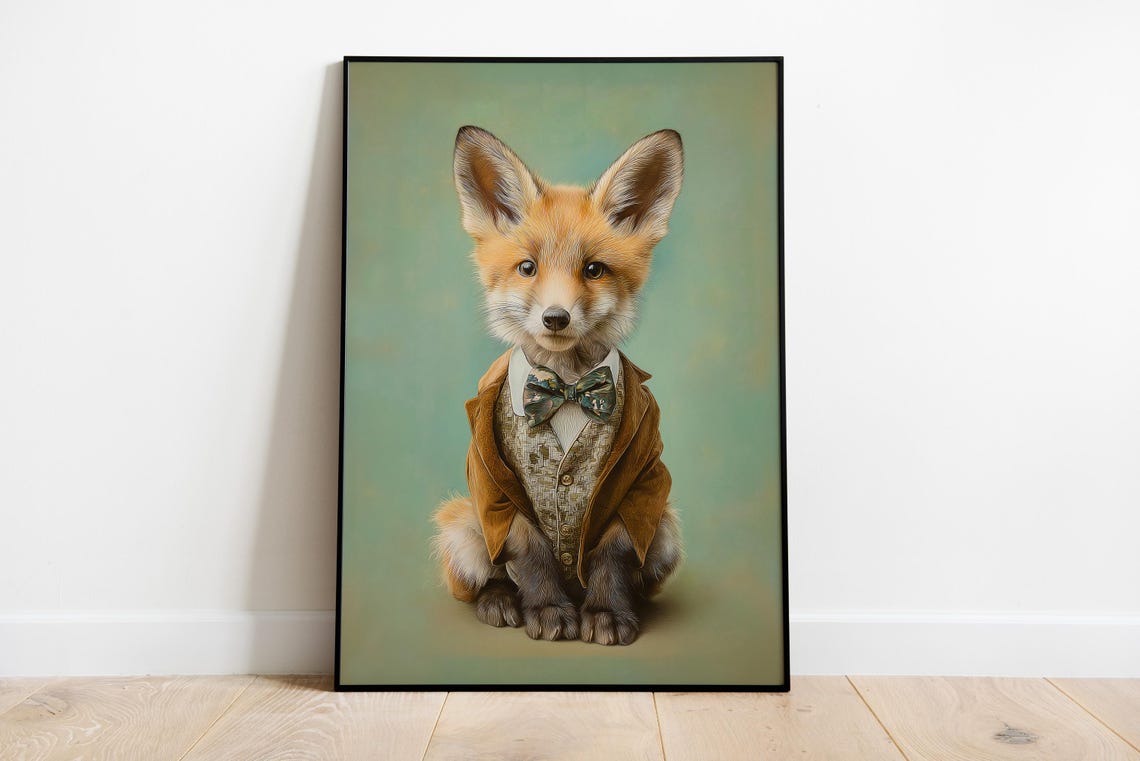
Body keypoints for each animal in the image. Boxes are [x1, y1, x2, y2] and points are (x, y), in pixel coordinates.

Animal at [431, 125, 684, 646]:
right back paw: (501, 602)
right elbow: (529, 551)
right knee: (492, 573)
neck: (567, 390)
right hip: (461, 525)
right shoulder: (496, 484)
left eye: (594, 270)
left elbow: (613, 552)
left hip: (667, 529)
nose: (555, 318)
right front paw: (547, 609)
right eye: (527, 268)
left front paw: (606, 614)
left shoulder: (642, 483)